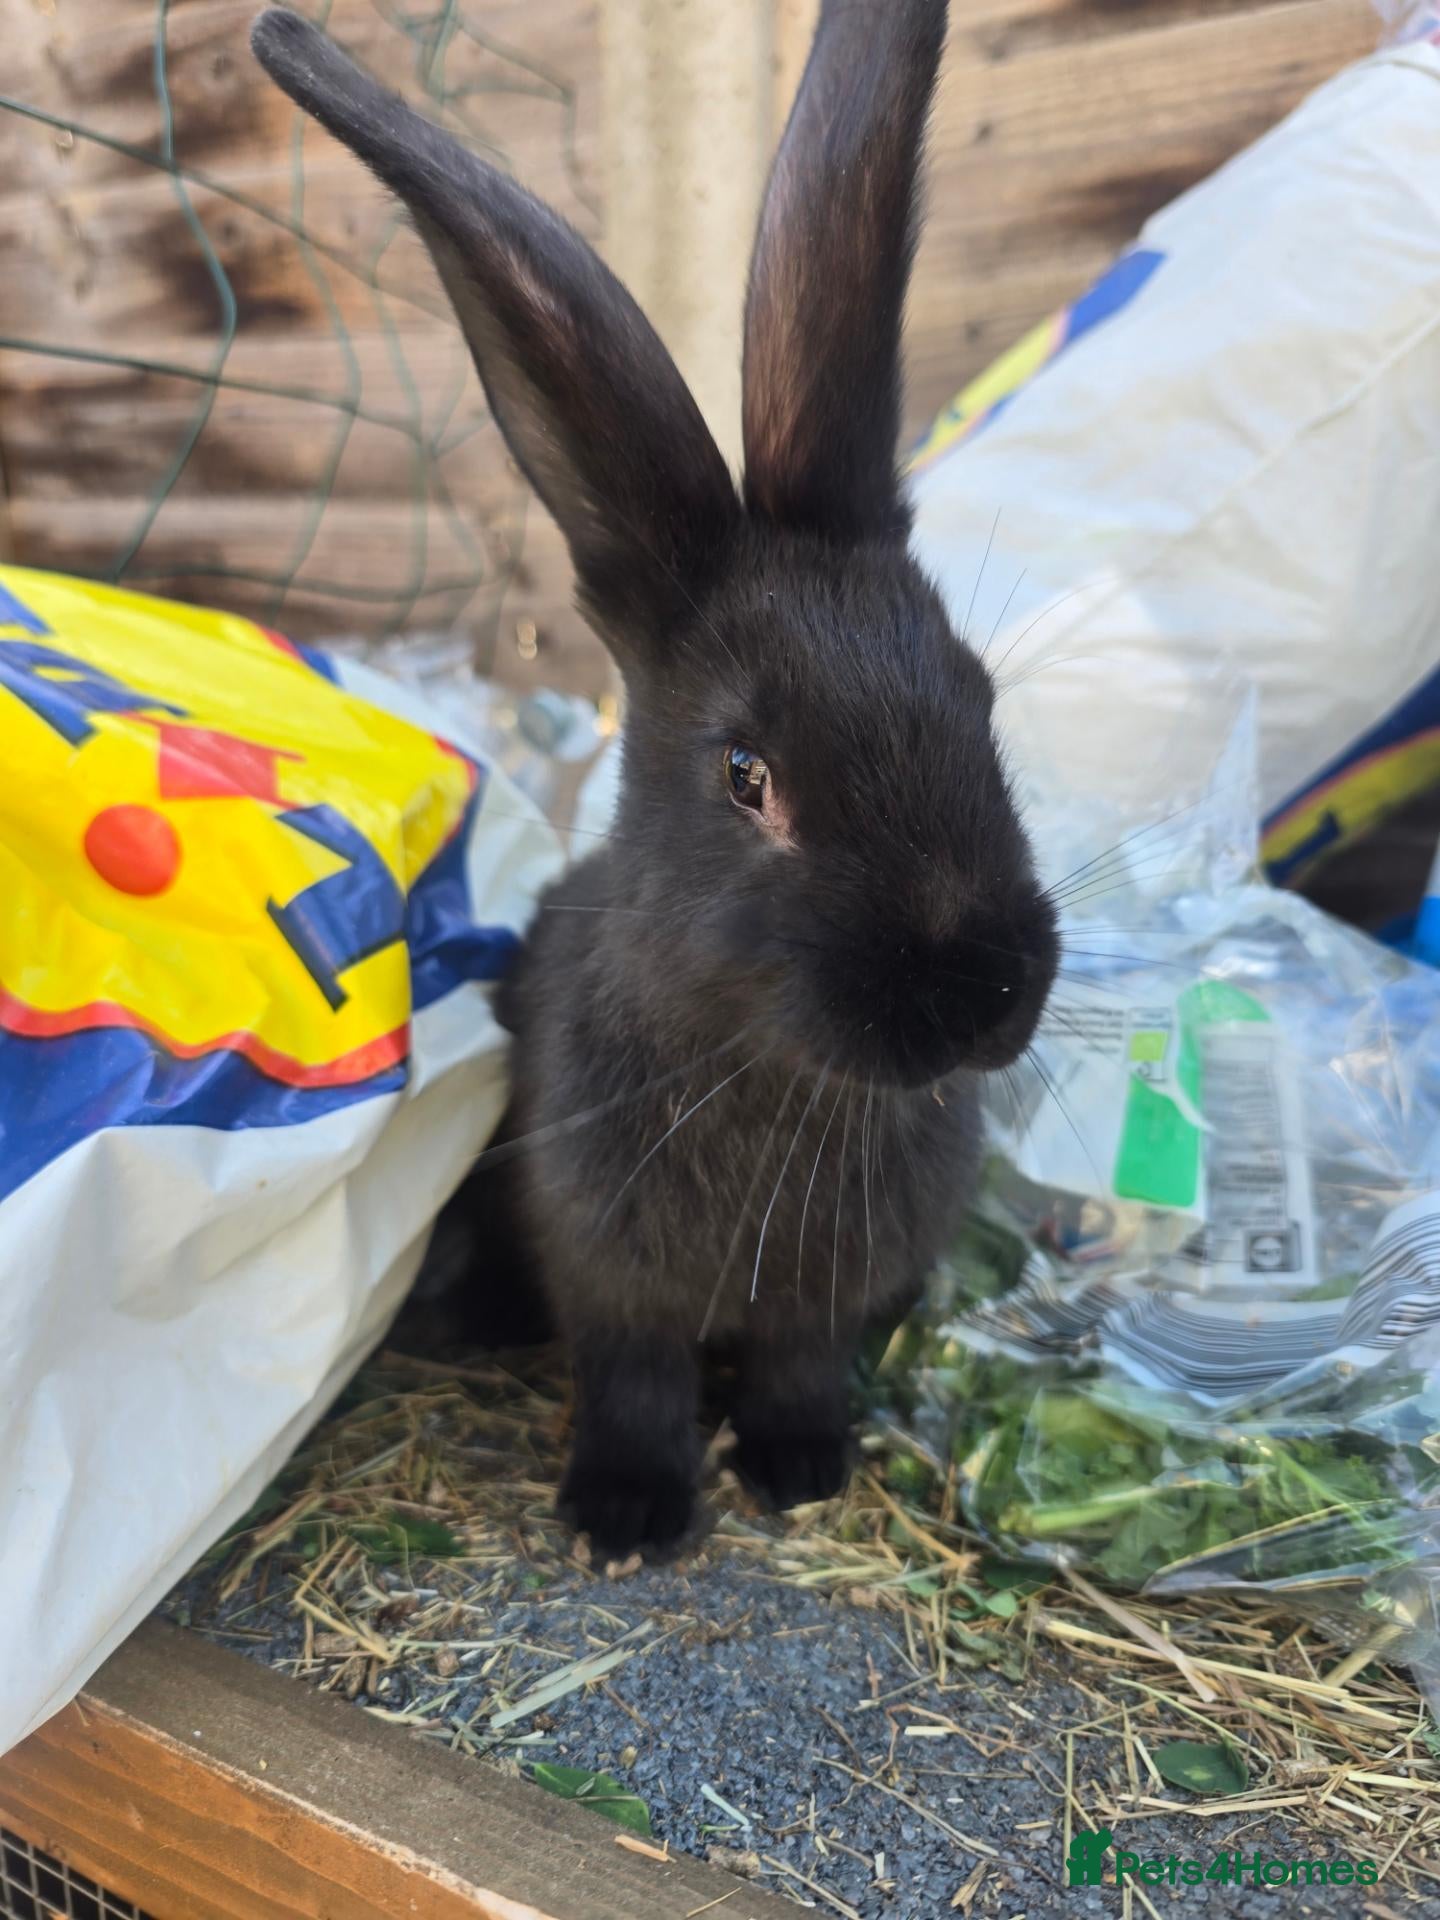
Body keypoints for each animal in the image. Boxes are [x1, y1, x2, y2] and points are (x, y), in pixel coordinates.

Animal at [251, 0, 1059, 1559]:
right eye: (747, 775)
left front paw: (800, 1467)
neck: (769, 1076)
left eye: (980, 701)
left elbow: (802, 1357)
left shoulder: (822, 1293)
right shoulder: (605, 1264)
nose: (982, 995)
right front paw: (624, 1514)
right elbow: (630, 1375)